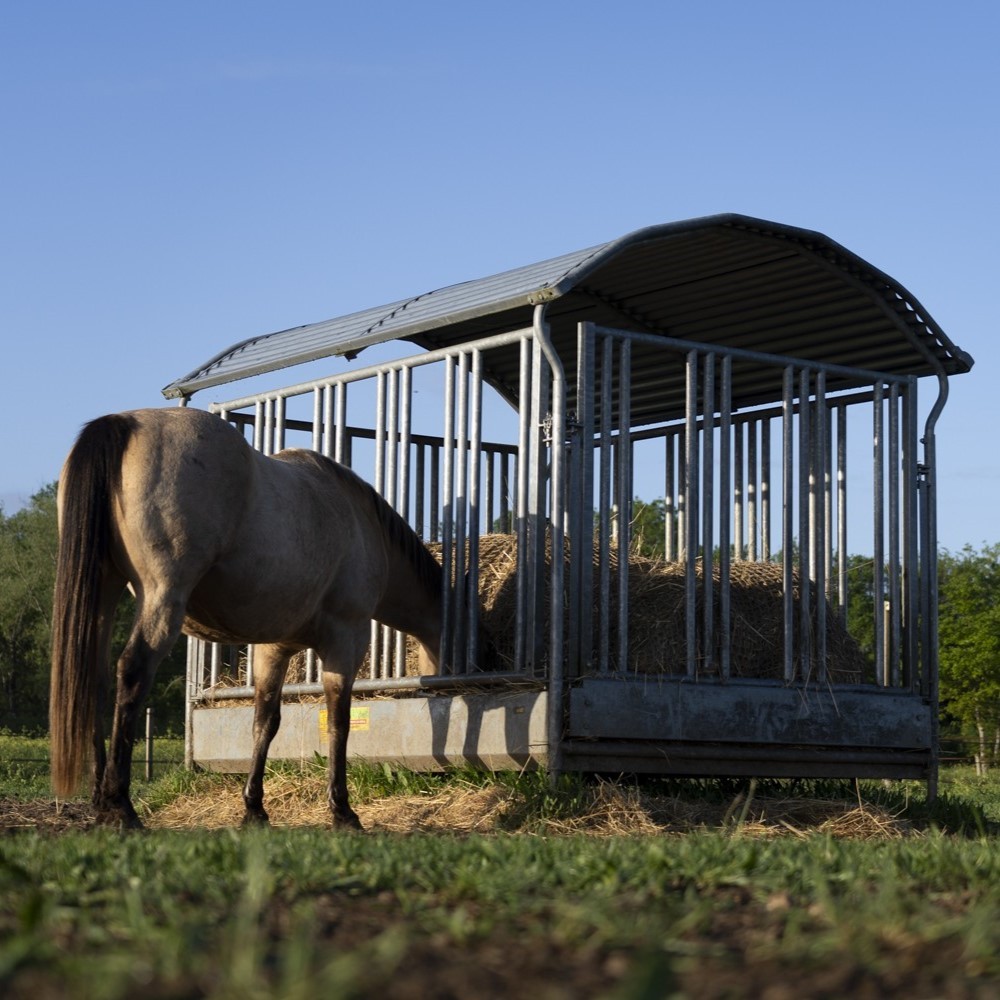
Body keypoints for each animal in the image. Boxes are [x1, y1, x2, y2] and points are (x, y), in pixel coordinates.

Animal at [51, 404, 484, 828]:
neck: (361, 523)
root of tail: (124, 423)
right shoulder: (347, 639)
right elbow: (338, 720)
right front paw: (342, 811)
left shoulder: (273, 648)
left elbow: (265, 721)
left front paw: (254, 809)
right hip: (161, 597)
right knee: (132, 674)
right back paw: (120, 807)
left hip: (104, 593)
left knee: (93, 680)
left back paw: (99, 802)